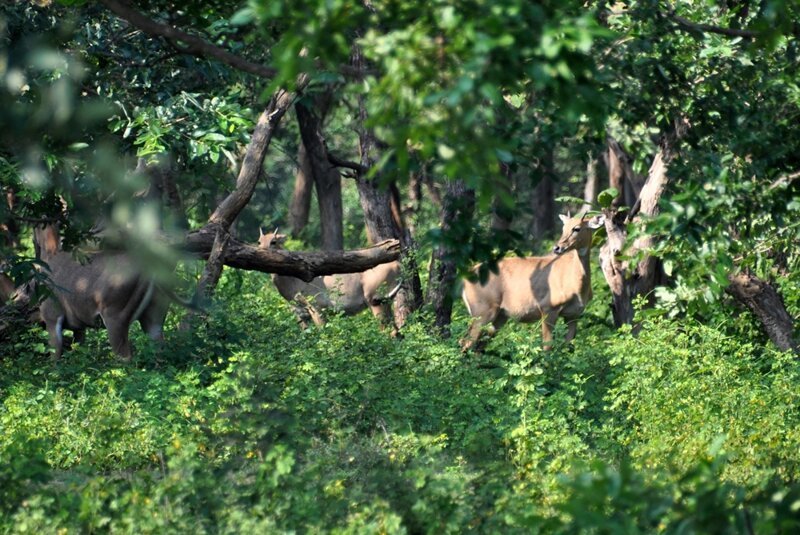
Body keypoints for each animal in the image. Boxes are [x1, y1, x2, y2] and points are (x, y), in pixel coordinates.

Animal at [35, 224, 173, 358]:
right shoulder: (79, 327)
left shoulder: (52, 316)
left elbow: (55, 354)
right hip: (154, 316)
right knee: (160, 349)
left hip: (115, 317)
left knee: (125, 356)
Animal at [260, 229, 404, 330]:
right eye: (259, 241)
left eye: (274, 241)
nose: (262, 252)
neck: (293, 281)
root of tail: (397, 265)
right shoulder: (300, 313)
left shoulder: (317, 307)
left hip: (376, 300)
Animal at [460, 211, 604, 354]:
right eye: (564, 228)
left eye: (577, 228)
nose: (557, 248)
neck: (577, 286)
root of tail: (465, 279)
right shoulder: (548, 307)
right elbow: (547, 347)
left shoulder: (574, 314)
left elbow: (569, 348)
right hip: (483, 310)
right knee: (465, 342)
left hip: (499, 316)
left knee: (478, 346)